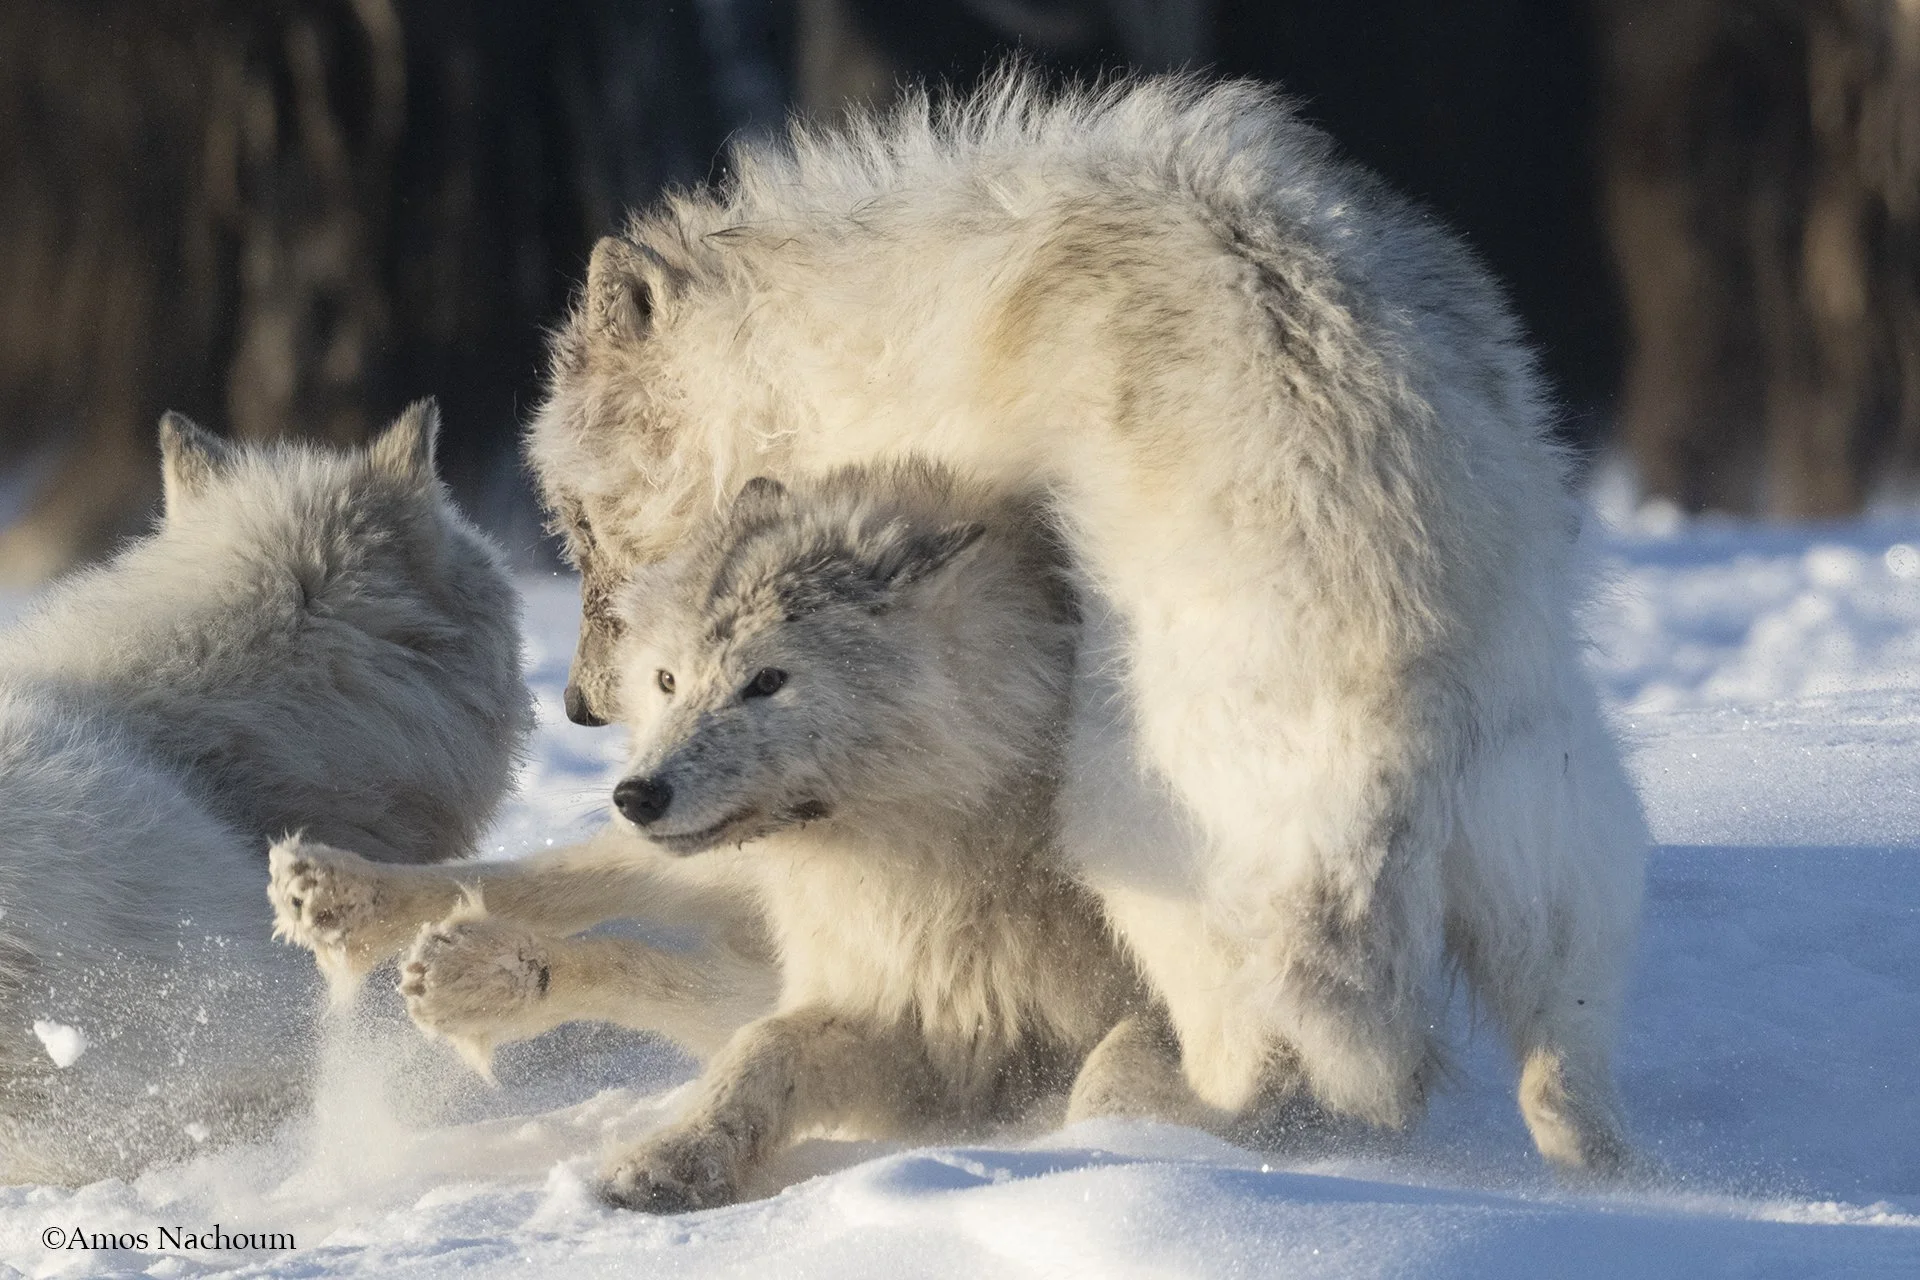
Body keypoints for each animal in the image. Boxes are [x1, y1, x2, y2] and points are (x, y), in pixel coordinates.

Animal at [269, 461, 1160, 1210]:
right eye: (668, 679)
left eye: (767, 680)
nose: (636, 794)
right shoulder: (896, 1011)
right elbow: (760, 1051)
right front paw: (670, 1158)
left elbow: (1113, 1073)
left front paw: (1122, 1155)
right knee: (562, 884)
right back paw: (349, 901)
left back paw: (474, 970)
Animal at [525, 71, 1651, 1175]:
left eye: (575, 523)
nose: (579, 706)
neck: (811, 344)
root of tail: (1410, 711)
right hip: (1552, 858)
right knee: (1559, 1069)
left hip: (1134, 841)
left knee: (1245, 1068)